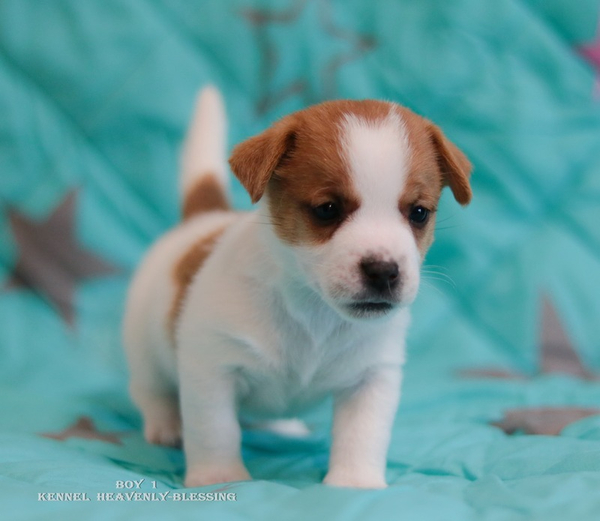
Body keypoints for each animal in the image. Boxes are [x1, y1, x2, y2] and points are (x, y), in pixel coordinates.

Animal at [122, 85, 472, 488]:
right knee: (151, 391)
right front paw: (220, 478)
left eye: (418, 213)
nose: (384, 271)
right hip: (144, 352)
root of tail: (204, 218)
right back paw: (165, 425)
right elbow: (215, 431)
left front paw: (355, 482)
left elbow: (363, 433)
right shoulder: (212, 369)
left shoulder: (371, 378)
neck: (314, 311)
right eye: (328, 209)